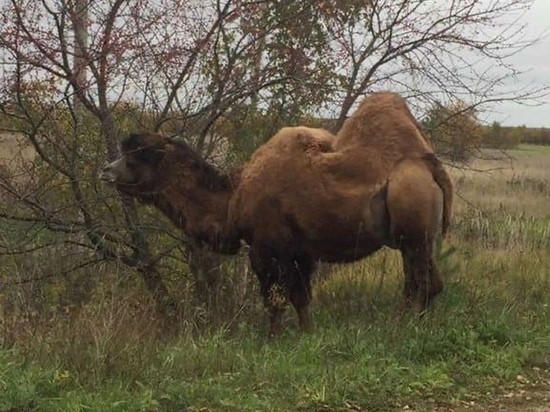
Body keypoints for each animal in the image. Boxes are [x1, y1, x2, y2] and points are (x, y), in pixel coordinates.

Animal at [101, 91, 454, 336]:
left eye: (139, 155)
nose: (106, 171)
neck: (233, 198)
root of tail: (430, 164)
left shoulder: (266, 249)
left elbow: (275, 300)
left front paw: (272, 340)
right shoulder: (301, 252)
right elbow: (302, 298)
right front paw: (307, 335)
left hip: (412, 224)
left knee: (421, 282)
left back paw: (405, 326)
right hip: (416, 238)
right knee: (426, 281)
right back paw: (411, 322)